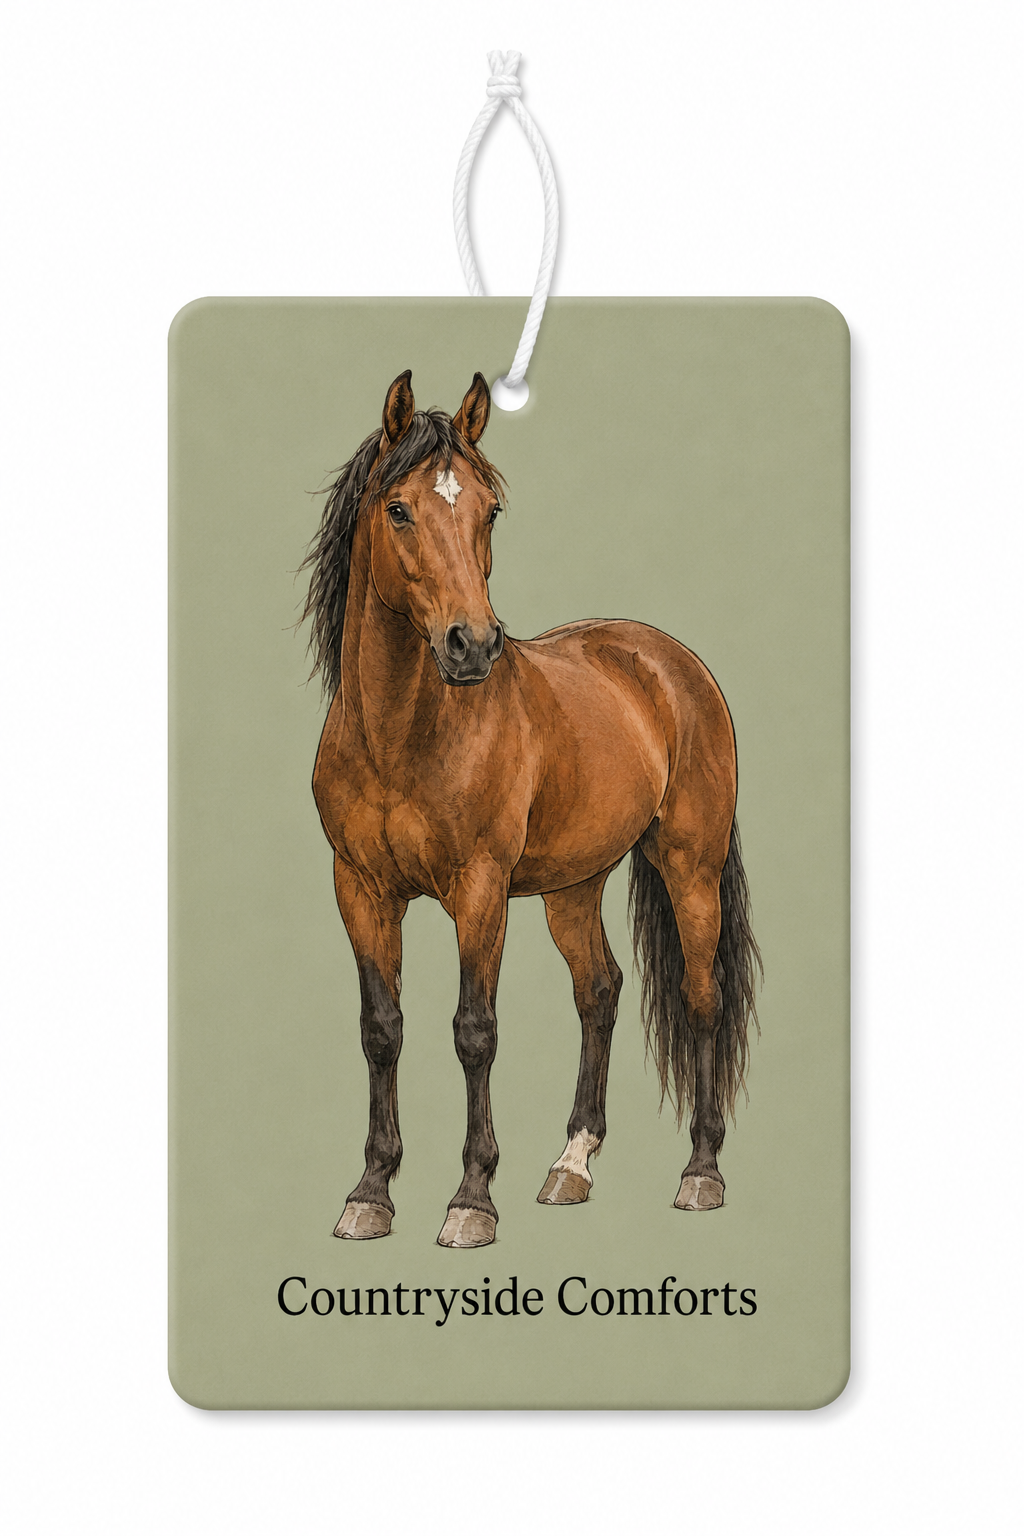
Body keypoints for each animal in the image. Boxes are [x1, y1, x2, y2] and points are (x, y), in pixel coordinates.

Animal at [302, 370, 760, 1248]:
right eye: (398, 508)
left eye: (489, 510)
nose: (473, 646)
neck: (403, 736)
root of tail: (669, 662)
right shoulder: (360, 890)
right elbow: (383, 1028)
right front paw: (370, 1192)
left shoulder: (480, 891)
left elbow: (473, 1031)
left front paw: (471, 1201)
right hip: (571, 887)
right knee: (601, 990)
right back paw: (572, 1164)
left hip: (690, 865)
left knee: (701, 996)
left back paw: (702, 1173)